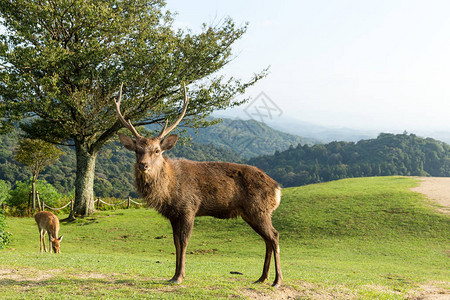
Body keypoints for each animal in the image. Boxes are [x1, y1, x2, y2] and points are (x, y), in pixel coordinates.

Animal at [115, 83, 282, 288]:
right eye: (137, 150)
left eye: (157, 150)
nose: (143, 165)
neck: (169, 191)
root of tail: (277, 189)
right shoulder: (173, 214)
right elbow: (175, 242)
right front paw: (173, 275)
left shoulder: (189, 208)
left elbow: (184, 241)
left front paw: (179, 276)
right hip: (251, 213)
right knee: (267, 239)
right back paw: (262, 278)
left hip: (259, 209)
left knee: (274, 236)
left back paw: (277, 280)